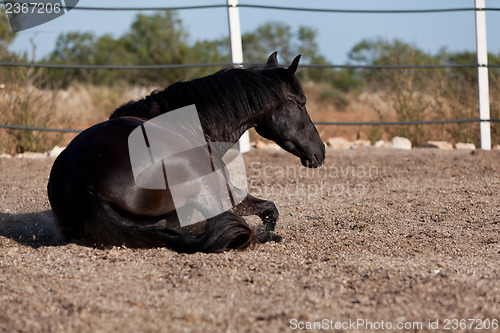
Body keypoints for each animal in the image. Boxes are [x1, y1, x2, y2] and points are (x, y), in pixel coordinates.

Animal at [48, 53, 326, 252]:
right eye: (301, 103)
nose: (321, 151)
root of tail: (82, 182)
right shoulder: (228, 193)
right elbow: (271, 209)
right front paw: (270, 233)